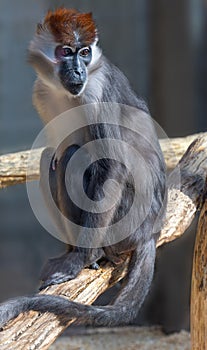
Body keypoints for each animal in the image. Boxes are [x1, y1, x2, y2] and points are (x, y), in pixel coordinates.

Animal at [0, 8, 167, 330]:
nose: (78, 71)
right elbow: (53, 155)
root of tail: (150, 232)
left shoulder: (96, 92)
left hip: (127, 221)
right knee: (53, 158)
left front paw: (78, 258)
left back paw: (92, 253)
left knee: (74, 157)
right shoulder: (40, 92)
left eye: (84, 53)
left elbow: (111, 166)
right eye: (66, 52)